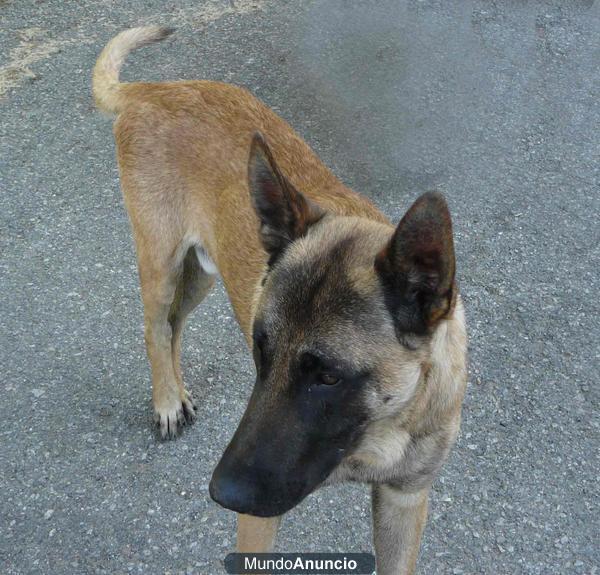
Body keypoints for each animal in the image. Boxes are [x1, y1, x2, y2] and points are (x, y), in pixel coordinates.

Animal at [94, 27, 468, 575]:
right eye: (260, 350)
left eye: (329, 376)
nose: (220, 493)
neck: (382, 424)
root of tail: (154, 90)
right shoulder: (261, 513)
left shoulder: (404, 501)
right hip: (162, 264)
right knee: (155, 327)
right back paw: (165, 401)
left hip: (203, 274)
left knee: (175, 326)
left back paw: (177, 394)